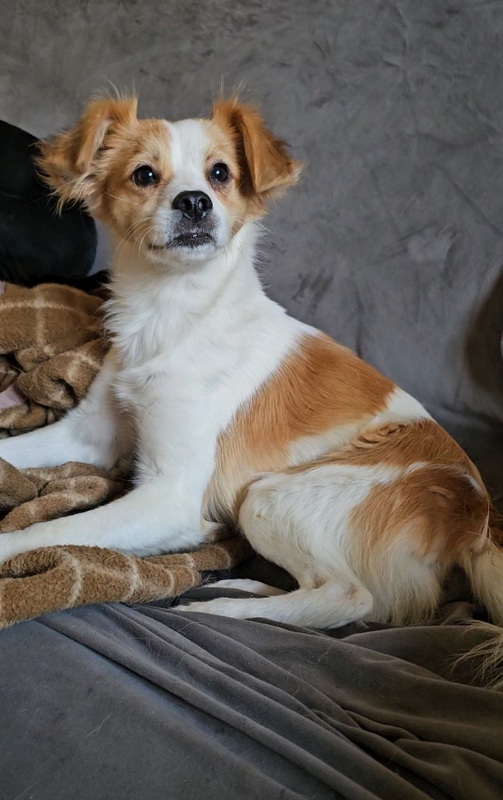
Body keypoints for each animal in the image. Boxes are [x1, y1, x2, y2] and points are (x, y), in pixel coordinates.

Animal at [0, 95, 502, 637]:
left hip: (270, 498)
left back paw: (220, 610)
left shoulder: (172, 497)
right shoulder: (89, 435)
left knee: (350, 598)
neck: (172, 313)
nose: (194, 201)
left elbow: (52, 529)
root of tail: (474, 520)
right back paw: (245, 586)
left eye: (220, 172)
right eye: (144, 175)